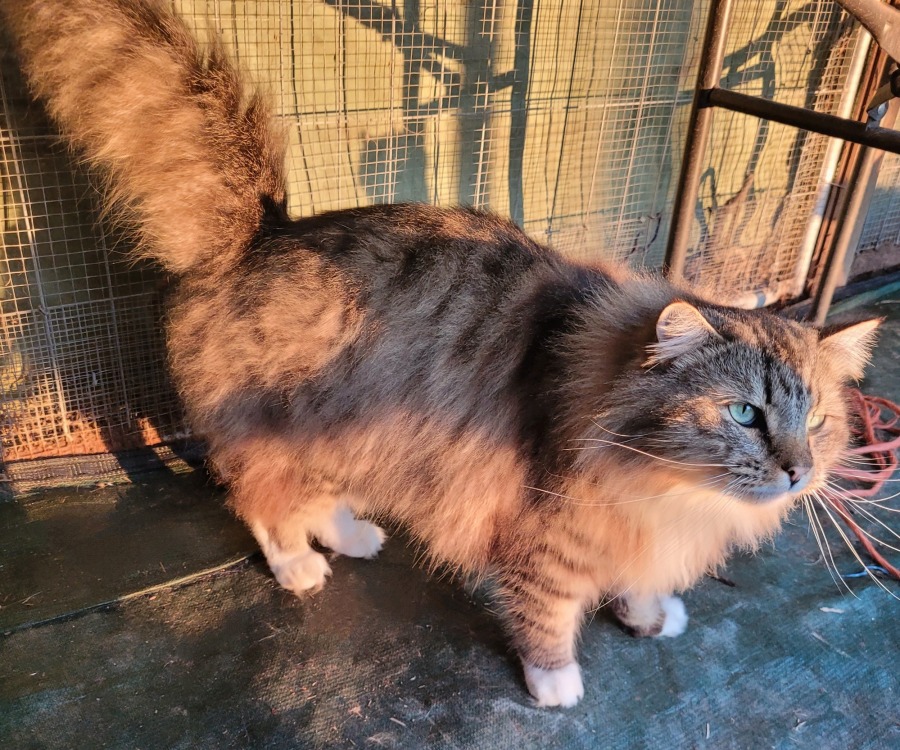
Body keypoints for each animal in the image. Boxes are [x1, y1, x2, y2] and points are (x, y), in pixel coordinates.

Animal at [1, 0, 880, 707]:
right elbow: (547, 611)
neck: (668, 486)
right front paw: (556, 682)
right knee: (261, 504)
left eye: (820, 421)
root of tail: (265, 232)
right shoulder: (545, 530)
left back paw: (351, 535)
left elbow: (634, 578)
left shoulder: (637, 529)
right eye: (744, 414)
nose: (800, 472)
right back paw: (300, 567)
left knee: (309, 498)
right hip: (282, 433)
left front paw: (646, 613)